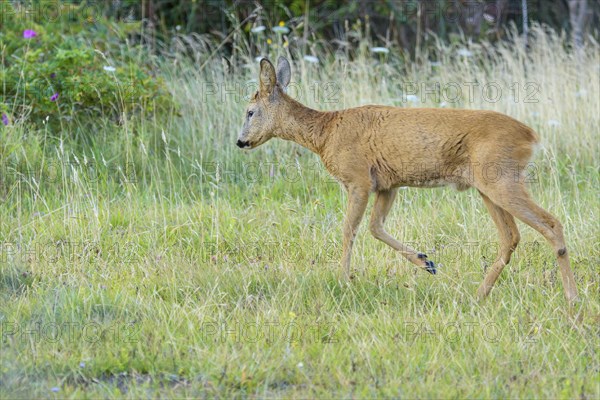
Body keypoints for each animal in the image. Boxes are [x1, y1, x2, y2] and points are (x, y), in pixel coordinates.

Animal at [237, 54, 580, 302]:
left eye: (250, 111)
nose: (241, 142)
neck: (326, 134)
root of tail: (531, 136)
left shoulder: (359, 179)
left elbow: (349, 230)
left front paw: (343, 280)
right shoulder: (387, 185)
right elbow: (375, 227)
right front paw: (426, 261)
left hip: (502, 179)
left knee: (551, 224)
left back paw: (571, 297)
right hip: (487, 186)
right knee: (511, 237)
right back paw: (478, 295)